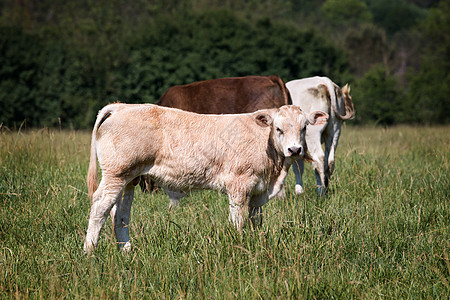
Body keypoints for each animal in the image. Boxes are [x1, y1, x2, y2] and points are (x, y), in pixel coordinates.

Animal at [83, 103, 326, 253]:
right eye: (278, 128)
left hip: (129, 179)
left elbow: (255, 220)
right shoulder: (239, 185)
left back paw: (127, 251)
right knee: (100, 207)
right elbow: (238, 220)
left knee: (120, 214)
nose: (294, 150)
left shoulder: (258, 190)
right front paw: (238, 244)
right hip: (116, 173)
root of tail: (122, 106)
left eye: (304, 128)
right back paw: (89, 251)